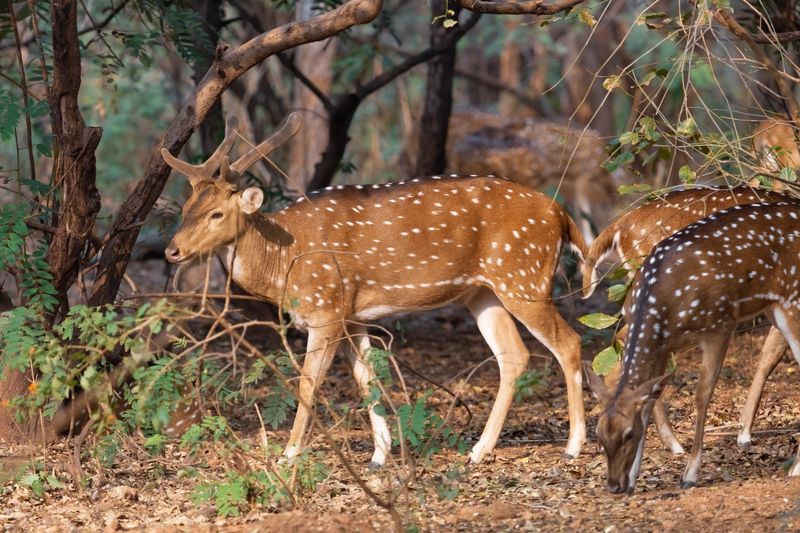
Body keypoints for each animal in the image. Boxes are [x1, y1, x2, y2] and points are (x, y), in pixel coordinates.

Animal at [161, 113, 589, 467]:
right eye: (185, 209)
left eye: (217, 213)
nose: (171, 251)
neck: (286, 262)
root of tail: (561, 214)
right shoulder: (352, 316)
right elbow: (367, 380)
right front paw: (380, 455)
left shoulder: (326, 307)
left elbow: (308, 382)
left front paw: (288, 454)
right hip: (483, 292)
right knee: (513, 355)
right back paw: (478, 451)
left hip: (523, 275)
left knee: (569, 342)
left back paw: (573, 446)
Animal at [585, 198, 800, 492]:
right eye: (598, 434)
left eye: (629, 434)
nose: (614, 485)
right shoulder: (664, 347)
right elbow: (649, 400)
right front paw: (635, 476)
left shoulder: (719, 325)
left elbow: (701, 395)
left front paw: (690, 474)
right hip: (774, 307)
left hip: (791, 300)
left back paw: (795, 467)